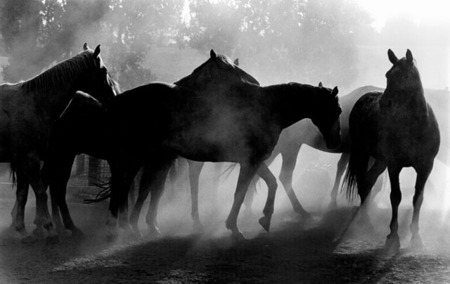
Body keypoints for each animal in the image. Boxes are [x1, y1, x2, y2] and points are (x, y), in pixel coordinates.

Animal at [1, 43, 118, 242]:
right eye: (104, 70)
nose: (115, 95)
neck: (34, 103)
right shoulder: (30, 159)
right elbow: (41, 192)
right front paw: (49, 228)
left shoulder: (24, 160)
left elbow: (23, 194)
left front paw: (23, 230)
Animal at [104, 77, 338, 240]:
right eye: (336, 110)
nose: (334, 141)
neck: (268, 107)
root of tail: (122, 99)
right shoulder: (250, 161)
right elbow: (240, 193)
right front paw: (234, 228)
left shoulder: (253, 161)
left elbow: (270, 183)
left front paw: (264, 218)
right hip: (137, 156)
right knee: (126, 187)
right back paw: (123, 229)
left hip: (154, 157)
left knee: (140, 188)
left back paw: (137, 227)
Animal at [344, 49, 440, 253]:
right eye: (388, 75)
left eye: (405, 76)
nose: (384, 103)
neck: (416, 126)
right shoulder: (394, 165)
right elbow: (395, 197)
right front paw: (393, 236)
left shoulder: (425, 167)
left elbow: (418, 199)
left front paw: (416, 237)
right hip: (363, 154)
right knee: (363, 183)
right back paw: (365, 223)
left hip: (380, 161)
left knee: (369, 181)